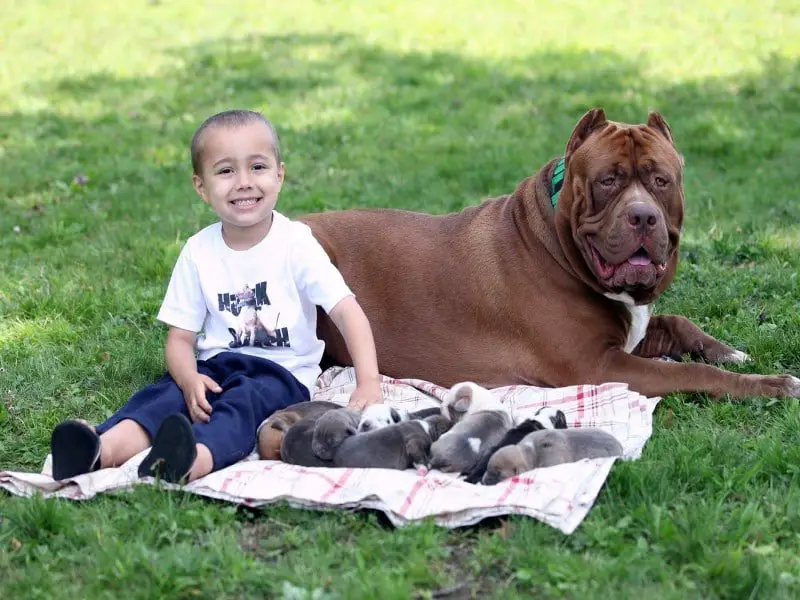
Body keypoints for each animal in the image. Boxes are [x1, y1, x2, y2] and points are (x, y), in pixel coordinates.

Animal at [302, 110, 800, 400]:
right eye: (608, 180)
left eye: (660, 180)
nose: (642, 216)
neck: (559, 246)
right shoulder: (599, 366)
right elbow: (692, 374)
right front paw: (769, 384)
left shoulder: (629, 337)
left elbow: (678, 323)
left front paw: (731, 352)